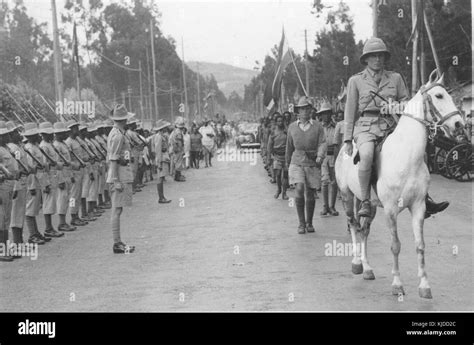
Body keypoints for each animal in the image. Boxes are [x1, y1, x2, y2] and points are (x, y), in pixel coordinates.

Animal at [336, 71, 464, 296]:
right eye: (439, 95)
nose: (459, 124)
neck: (407, 155)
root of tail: (344, 149)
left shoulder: (418, 207)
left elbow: (420, 245)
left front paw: (424, 286)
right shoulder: (390, 209)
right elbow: (395, 245)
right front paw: (397, 284)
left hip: (369, 204)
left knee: (364, 230)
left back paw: (367, 268)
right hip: (347, 196)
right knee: (353, 225)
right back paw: (357, 263)